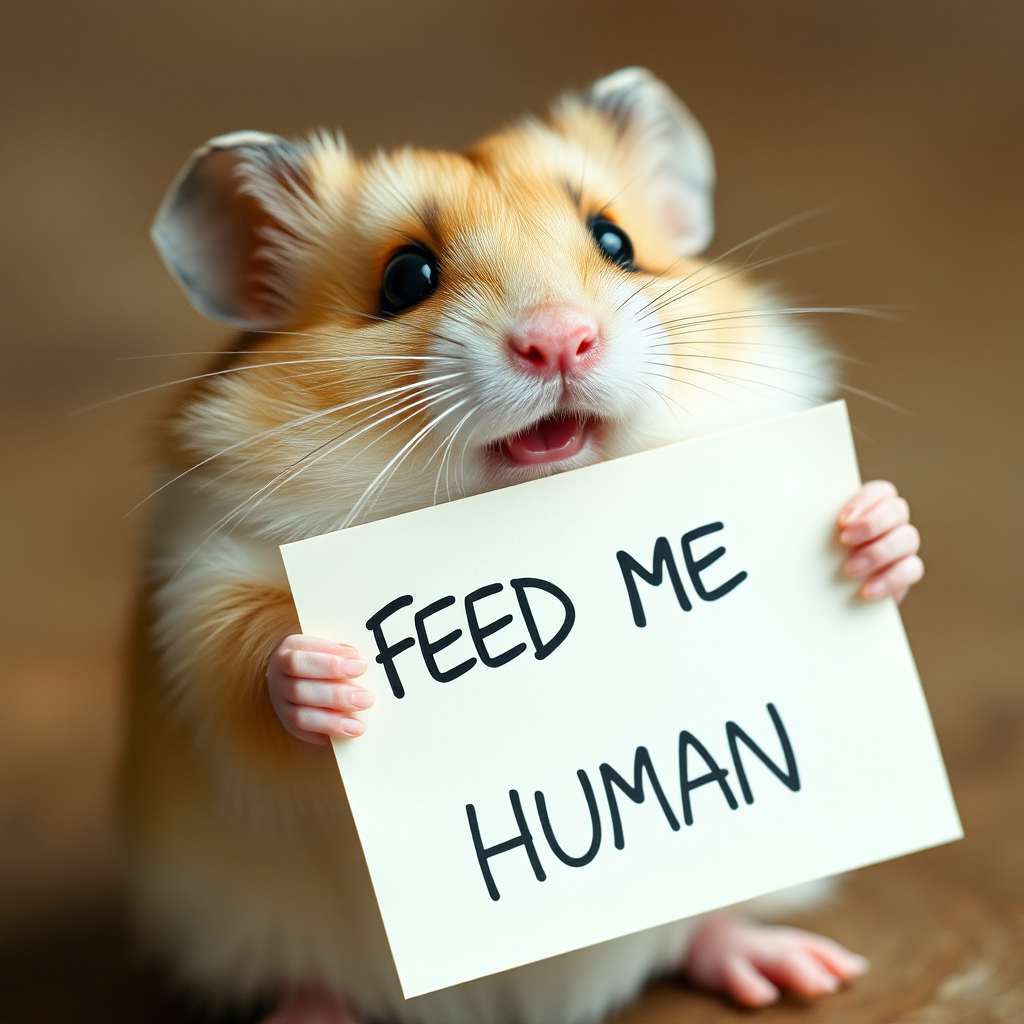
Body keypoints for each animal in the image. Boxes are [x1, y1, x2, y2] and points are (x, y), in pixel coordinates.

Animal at [122, 68, 924, 1024]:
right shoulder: (198, 577)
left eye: (615, 241)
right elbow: (241, 665)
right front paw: (332, 678)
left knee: (705, 927)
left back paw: (799, 971)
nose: (559, 340)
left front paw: (874, 531)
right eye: (406, 277)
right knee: (313, 982)